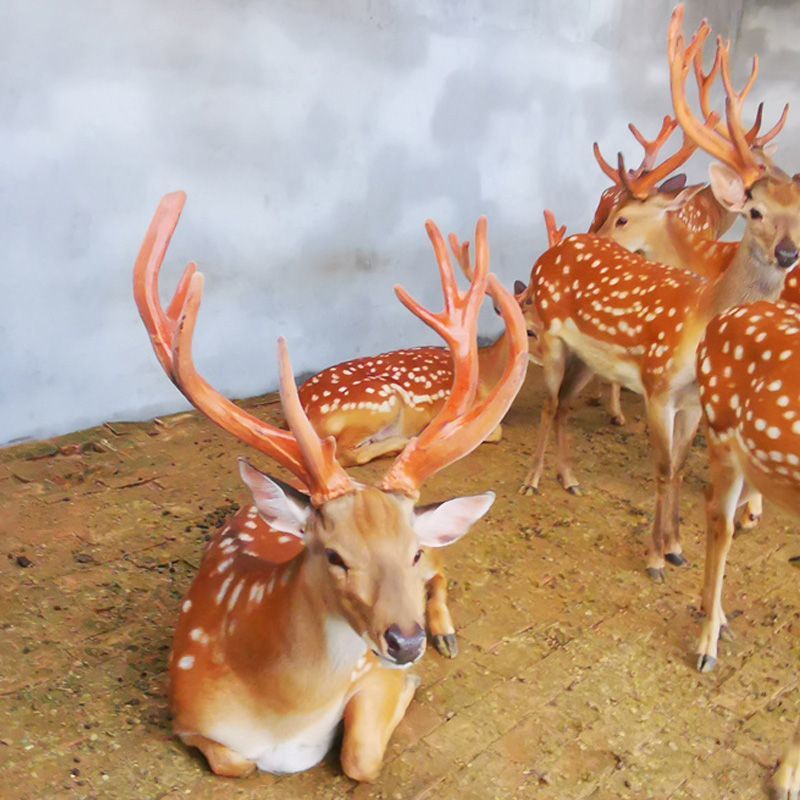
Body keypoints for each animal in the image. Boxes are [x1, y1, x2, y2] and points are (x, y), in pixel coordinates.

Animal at [133, 192, 527, 782]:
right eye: (334, 555)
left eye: (409, 552)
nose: (406, 642)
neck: (284, 719)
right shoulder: (185, 711)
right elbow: (234, 763)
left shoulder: (374, 670)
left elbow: (360, 754)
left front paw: (411, 684)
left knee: (445, 569)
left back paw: (444, 631)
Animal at [517, 5, 799, 582]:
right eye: (755, 211)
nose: (787, 254)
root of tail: (559, 246)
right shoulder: (658, 386)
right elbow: (665, 467)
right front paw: (655, 555)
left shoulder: (692, 401)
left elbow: (681, 464)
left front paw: (675, 546)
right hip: (551, 338)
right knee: (550, 402)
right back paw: (533, 480)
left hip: (587, 358)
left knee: (564, 405)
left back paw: (569, 478)